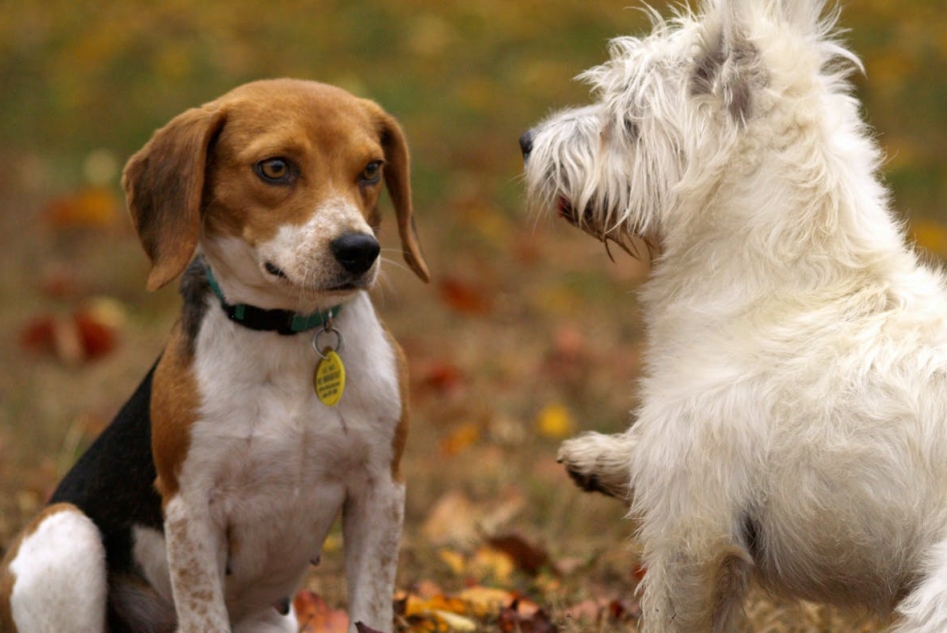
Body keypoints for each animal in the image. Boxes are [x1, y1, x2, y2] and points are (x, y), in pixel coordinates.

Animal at [0, 79, 430, 632]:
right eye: (275, 167)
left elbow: (371, 608)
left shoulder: (381, 492)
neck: (288, 336)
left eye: (372, 169)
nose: (359, 250)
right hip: (65, 530)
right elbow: (204, 612)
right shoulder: (191, 509)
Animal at [524, 1, 947, 632]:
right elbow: (642, 452)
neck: (785, 294)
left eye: (626, 117)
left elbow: (668, 614)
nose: (526, 141)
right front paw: (599, 456)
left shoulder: (695, 533)